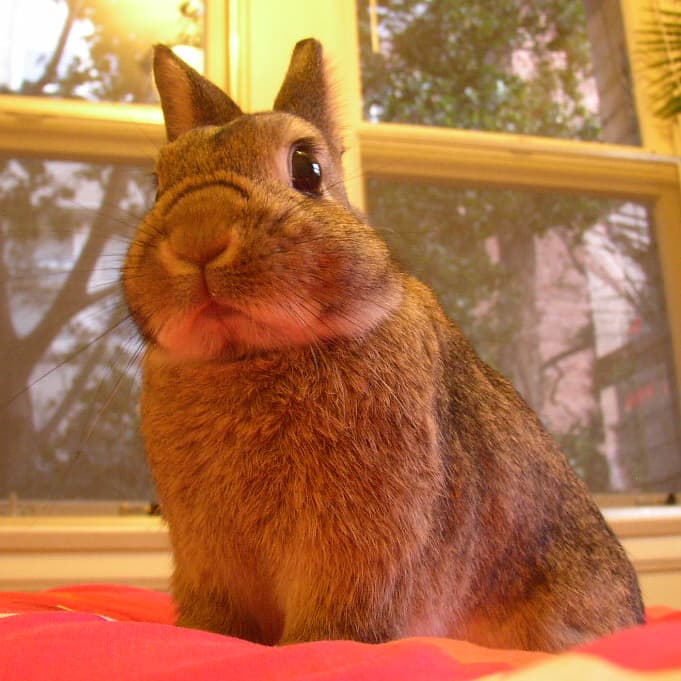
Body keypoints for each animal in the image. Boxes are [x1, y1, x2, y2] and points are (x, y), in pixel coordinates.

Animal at [123, 39, 645, 652]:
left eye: (307, 167)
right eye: (158, 184)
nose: (198, 237)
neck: (248, 354)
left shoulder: (357, 552)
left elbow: (333, 631)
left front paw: (312, 647)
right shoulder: (209, 557)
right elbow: (218, 625)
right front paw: (202, 639)